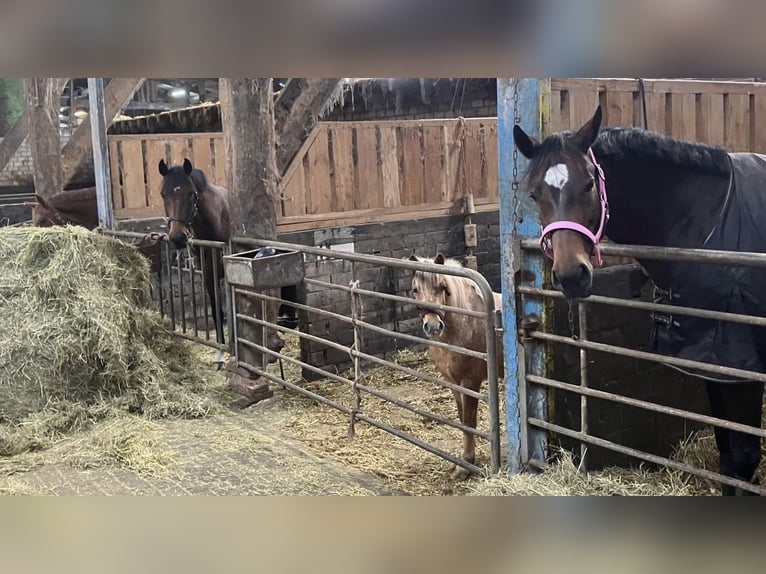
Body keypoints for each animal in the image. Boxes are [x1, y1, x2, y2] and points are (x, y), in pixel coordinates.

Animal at [408, 253, 504, 480]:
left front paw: (465, 466)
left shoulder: (470, 382)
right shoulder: (452, 382)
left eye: (443, 287)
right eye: (415, 289)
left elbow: (469, 422)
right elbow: (461, 420)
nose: (433, 326)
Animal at [513, 105, 766, 495]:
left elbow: (743, 458)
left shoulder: (744, 367)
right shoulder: (714, 362)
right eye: (535, 193)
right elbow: (728, 457)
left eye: (589, 183)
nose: (571, 276)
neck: (709, 221)